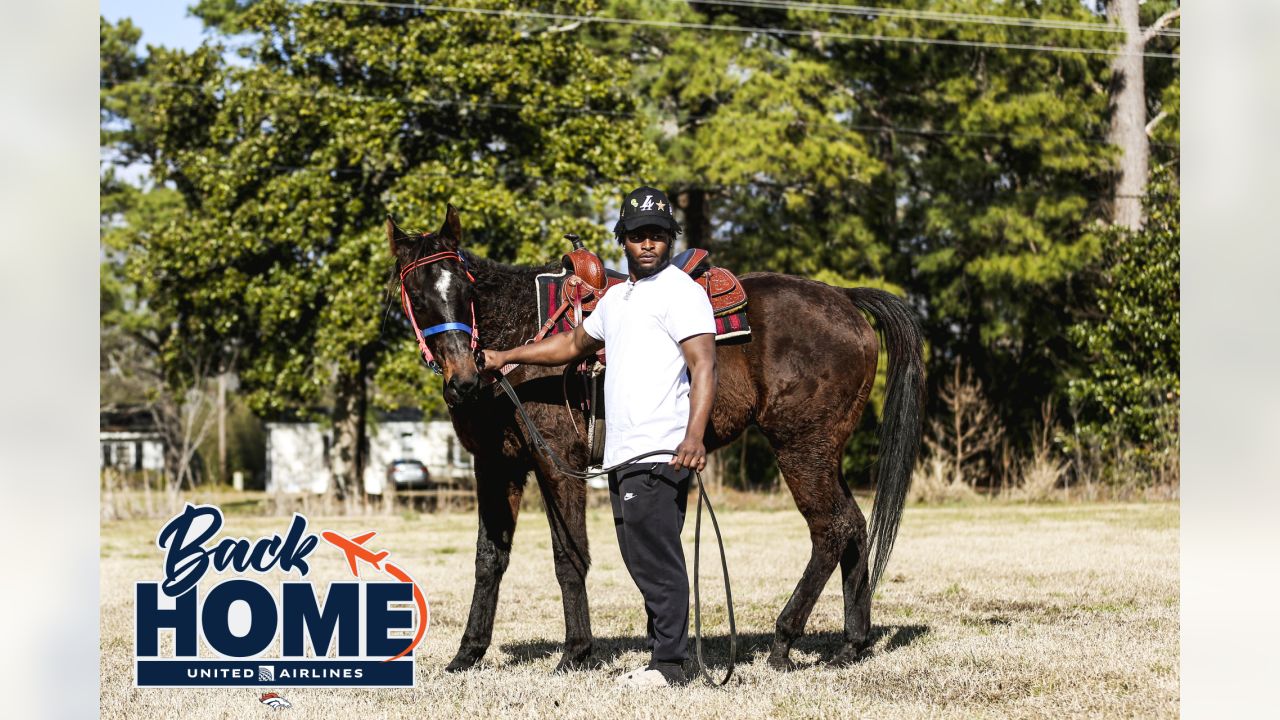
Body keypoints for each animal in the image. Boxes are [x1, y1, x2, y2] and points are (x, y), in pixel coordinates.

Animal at [384, 204, 926, 671]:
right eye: (418, 294)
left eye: (464, 289)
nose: (463, 379)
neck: (520, 336)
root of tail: (843, 299)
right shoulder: (496, 467)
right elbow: (489, 558)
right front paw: (468, 652)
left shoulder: (557, 462)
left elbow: (568, 556)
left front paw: (575, 652)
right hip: (824, 451)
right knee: (854, 527)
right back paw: (853, 643)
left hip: (801, 448)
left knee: (830, 530)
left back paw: (783, 638)